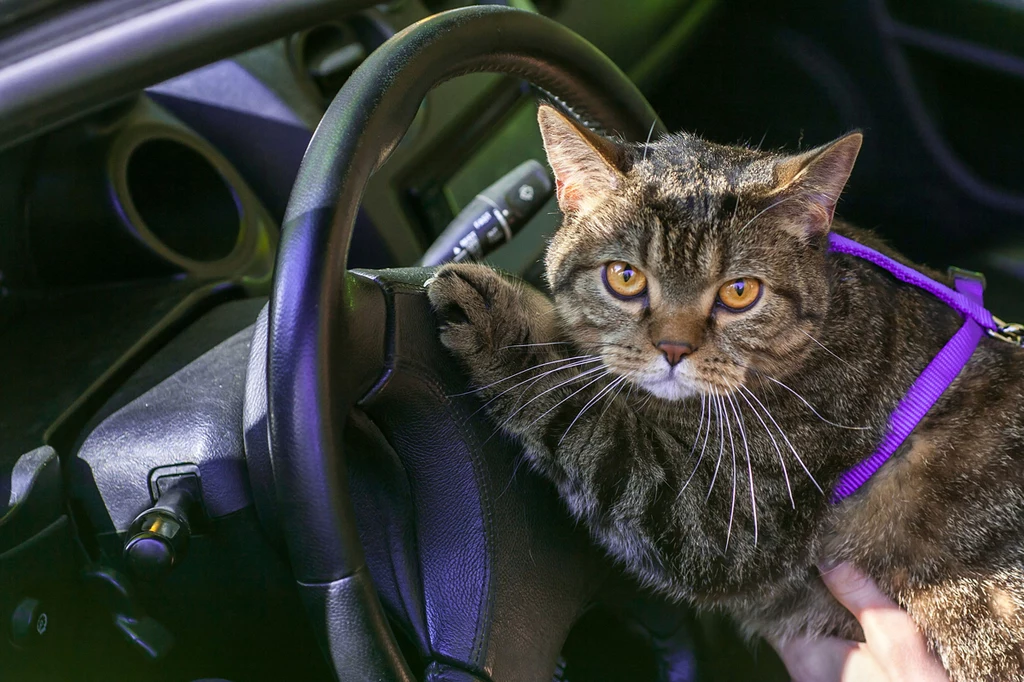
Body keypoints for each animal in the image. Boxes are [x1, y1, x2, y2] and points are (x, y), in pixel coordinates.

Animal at [428, 103, 1024, 675]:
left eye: (739, 291)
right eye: (624, 277)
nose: (673, 347)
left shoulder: (719, 521)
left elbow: (583, 419)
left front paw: (501, 320)